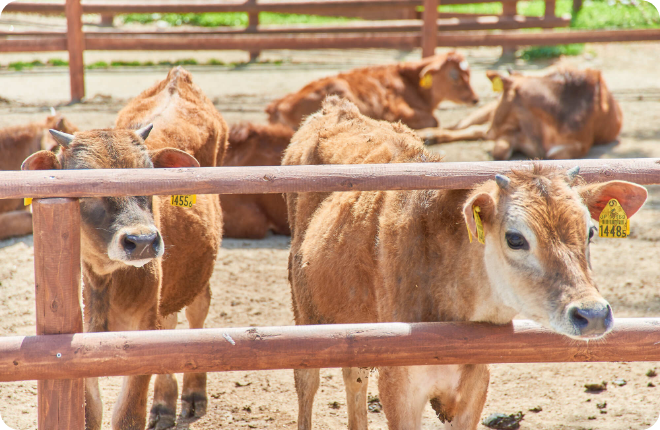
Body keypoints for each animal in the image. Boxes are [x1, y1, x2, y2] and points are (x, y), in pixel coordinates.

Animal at [266, 51, 476, 130]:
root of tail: (278, 106)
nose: (475, 99)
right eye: (454, 76)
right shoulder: (397, 111)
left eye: (469, 73)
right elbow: (434, 120)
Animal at [282, 96, 644, 430]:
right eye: (515, 238)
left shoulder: (475, 383)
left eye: (591, 231)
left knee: (354, 378)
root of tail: (337, 107)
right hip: (303, 312)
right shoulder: (399, 385)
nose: (592, 314)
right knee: (307, 383)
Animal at [422, 66, 624, 160]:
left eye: (503, 98)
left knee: (473, 130)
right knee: (462, 126)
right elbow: (499, 150)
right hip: (484, 113)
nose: (492, 131)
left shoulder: (578, 146)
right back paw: (427, 134)